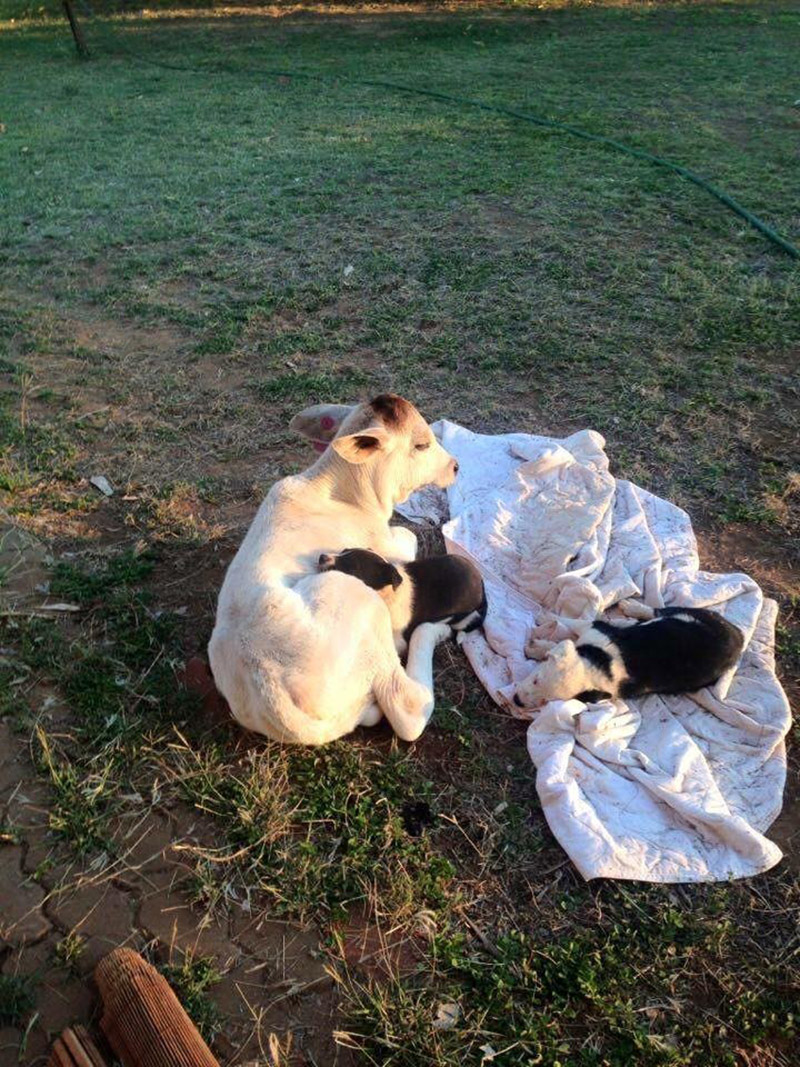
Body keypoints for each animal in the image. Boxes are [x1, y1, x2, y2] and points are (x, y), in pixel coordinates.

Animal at [315, 550, 486, 648]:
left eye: (351, 568)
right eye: (343, 550)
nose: (321, 557)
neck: (387, 594)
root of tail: (481, 581)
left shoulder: (399, 640)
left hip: (462, 618)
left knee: (467, 625)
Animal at [514, 610, 746, 708]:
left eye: (549, 701)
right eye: (535, 679)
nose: (516, 701)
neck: (598, 663)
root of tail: (738, 636)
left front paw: (538, 645)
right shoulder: (594, 629)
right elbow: (573, 622)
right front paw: (545, 624)